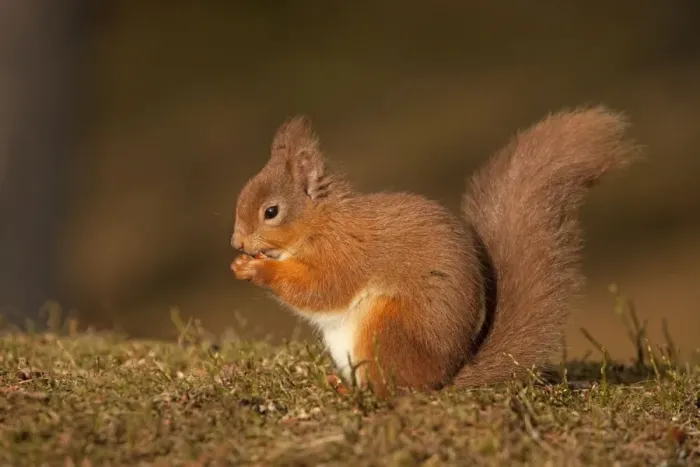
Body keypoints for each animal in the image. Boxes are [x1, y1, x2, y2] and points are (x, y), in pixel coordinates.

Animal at [230, 106, 640, 396]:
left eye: (271, 212)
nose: (237, 243)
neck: (320, 222)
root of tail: (443, 379)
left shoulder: (346, 252)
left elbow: (322, 289)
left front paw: (257, 270)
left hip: (387, 326)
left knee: (393, 391)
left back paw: (356, 393)